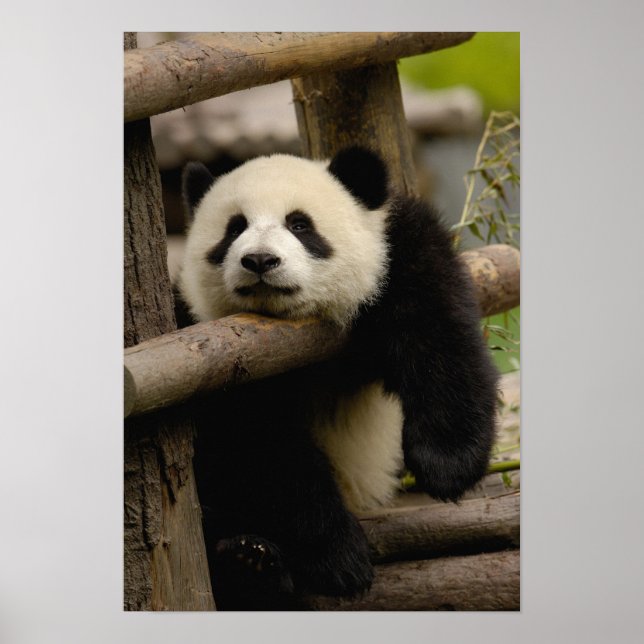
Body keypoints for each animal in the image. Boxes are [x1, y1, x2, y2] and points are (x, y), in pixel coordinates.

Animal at [177, 146, 498, 610]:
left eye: (299, 224)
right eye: (234, 228)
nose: (260, 260)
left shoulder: (399, 253)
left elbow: (439, 332)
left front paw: (447, 466)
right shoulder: (222, 353)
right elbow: (262, 444)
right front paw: (340, 558)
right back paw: (249, 562)